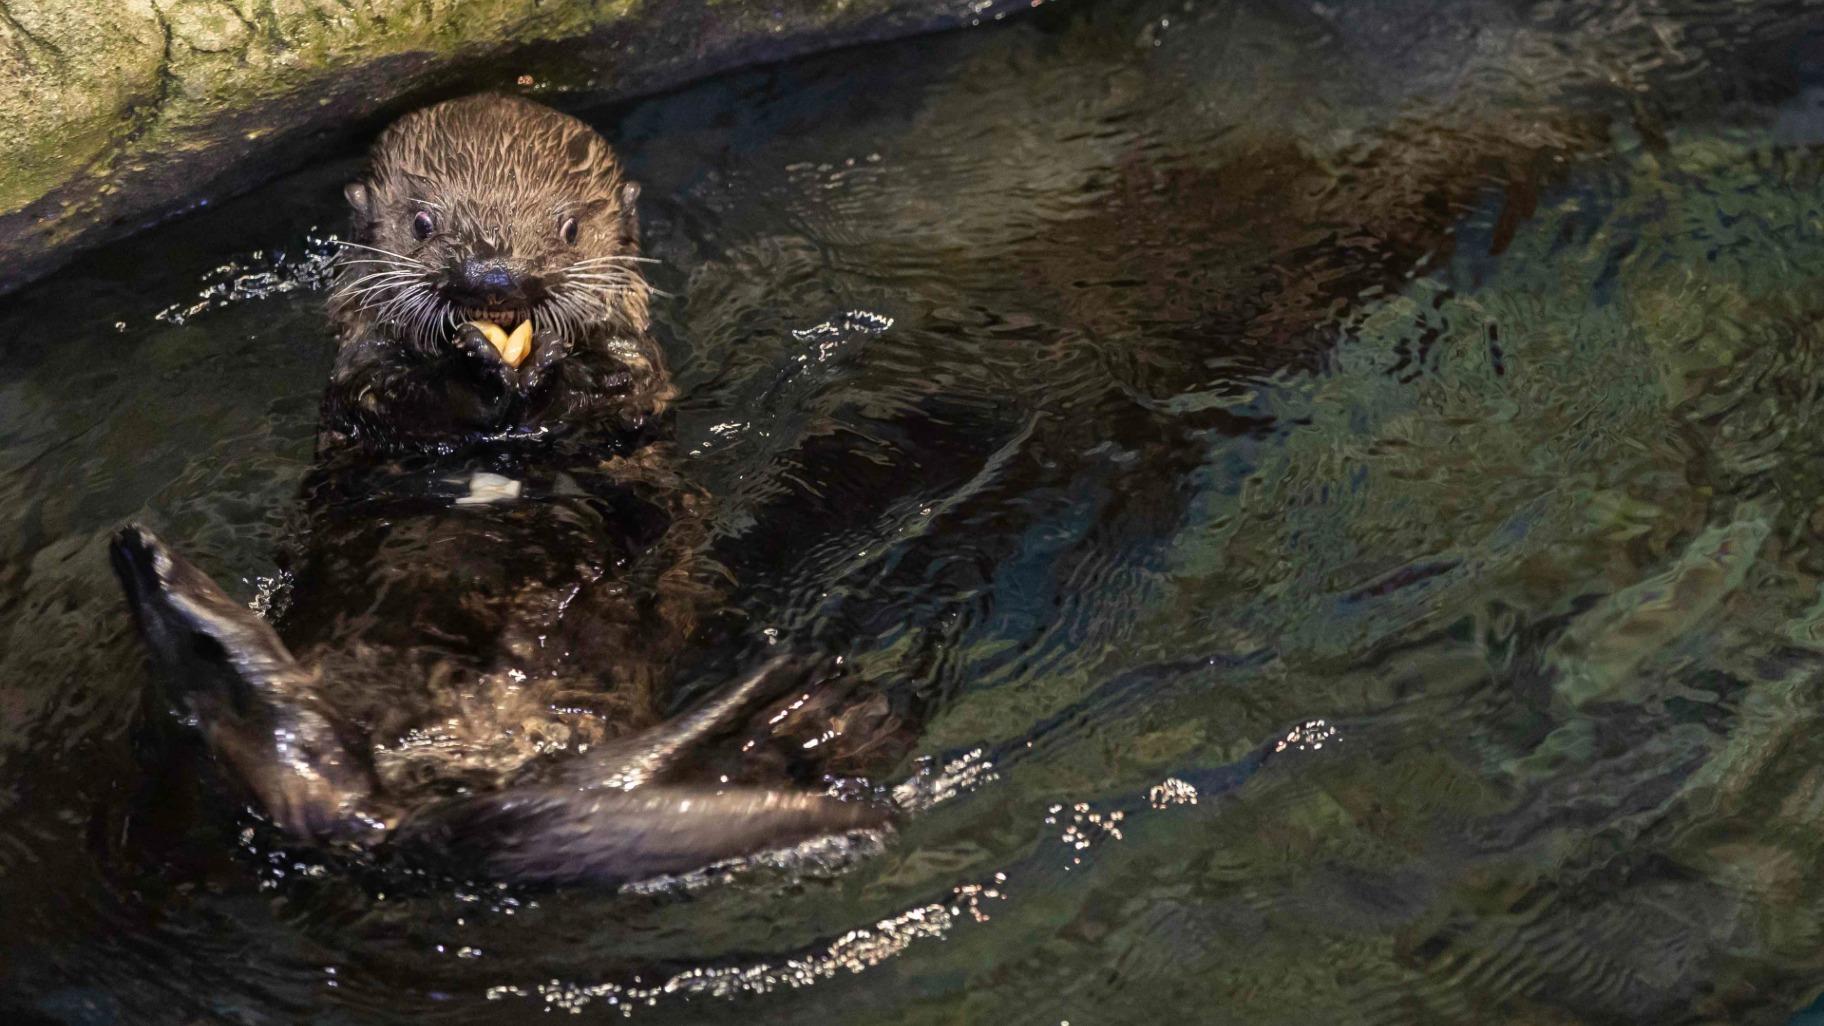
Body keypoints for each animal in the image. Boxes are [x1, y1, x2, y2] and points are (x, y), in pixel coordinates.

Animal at [109, 94, 889, 884]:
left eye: (568, 229)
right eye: (423, 224)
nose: (494, 279)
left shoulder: (638, 379)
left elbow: (609, 396)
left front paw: (542, 364)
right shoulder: (358, 380)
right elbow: (395, 396)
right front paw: (471, 362)